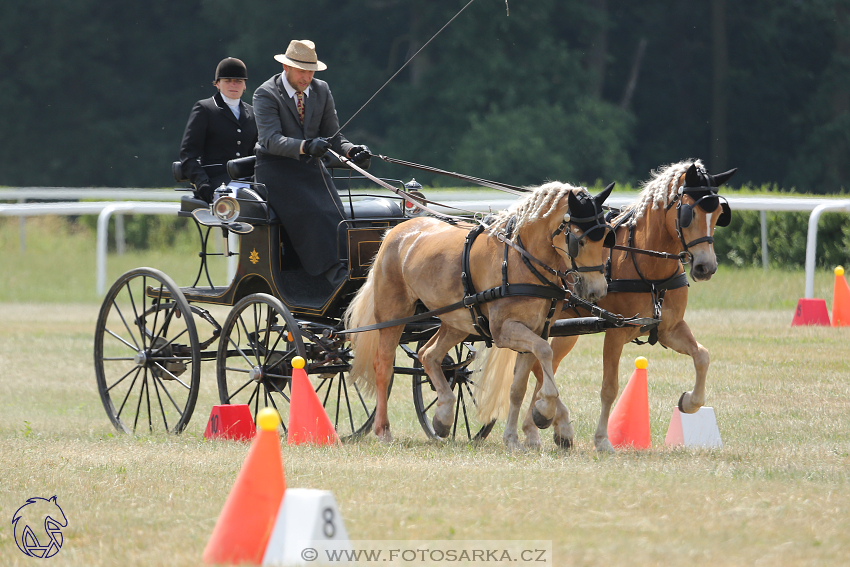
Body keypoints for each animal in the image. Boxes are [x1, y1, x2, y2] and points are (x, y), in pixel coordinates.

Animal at [480, 160, 732, 452]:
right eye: (689, 213)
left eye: (718, 214)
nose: (706, 267)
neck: (645, 263)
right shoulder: (616, 332)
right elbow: (609, 388)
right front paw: (602, 440)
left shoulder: (670, 328)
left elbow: (702, 356)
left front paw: (690, 402)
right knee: (540, 365)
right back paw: (552, 420)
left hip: (561, 329)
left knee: (541, 365)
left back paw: (539, 428)